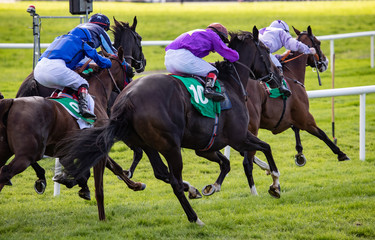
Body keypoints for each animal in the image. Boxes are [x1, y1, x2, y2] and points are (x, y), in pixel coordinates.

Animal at [0, 47, 146, 215]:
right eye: (130, 71)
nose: (130, 89)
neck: (95, 95)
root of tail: (11, 102)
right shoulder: (97, 145)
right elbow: (109, 169)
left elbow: (111, 167)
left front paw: (136, 185)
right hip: (28, 153)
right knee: (6, 172)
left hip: (5, 150)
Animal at [12, 17, 147, 197]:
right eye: (139, 38)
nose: (143, 63)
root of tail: (32, 81)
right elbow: (136, 152)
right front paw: (128, 174)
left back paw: (41, 178)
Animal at [55, 27, 284, 224]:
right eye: (266, 50)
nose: (277, 77)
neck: (231, 84)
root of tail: (127, 98)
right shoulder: (238, 137)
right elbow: (266, 148)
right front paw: (275, 184)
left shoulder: (206, 146)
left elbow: (228, 162)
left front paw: (212, 187)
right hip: (171, 146)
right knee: (174, 180)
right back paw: (195, 218)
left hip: (147, 144)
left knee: (161, 172)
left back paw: (191, 191)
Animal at [242, 25, 352, 195]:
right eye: (318, 43)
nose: (325, 62)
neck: (291, 74)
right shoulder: (305, 117)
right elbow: (322, 134)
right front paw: (341, 154)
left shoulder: (292, 116)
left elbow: (296, 130)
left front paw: (299, 154)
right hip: (252, 127)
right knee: (247, 161)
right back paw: (257, 191)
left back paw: (266, 169)